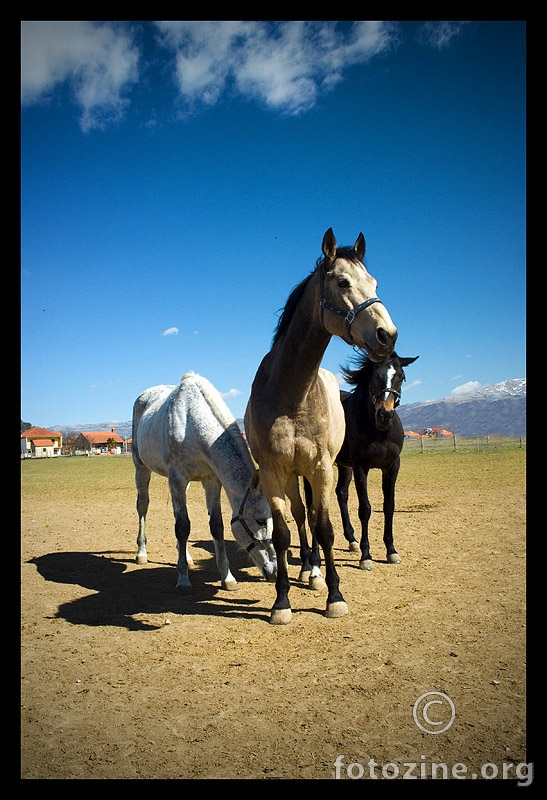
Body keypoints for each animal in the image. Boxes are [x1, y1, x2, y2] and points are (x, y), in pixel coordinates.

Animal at [246, 228, 396, 620]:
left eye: (374, 282)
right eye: (342, 282)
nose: (387, 335)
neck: (292, 393)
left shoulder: (322, 468)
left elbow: (325, 528)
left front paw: (334, 596)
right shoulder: (273, 472)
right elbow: (284, 533)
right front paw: (282, 601)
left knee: (314, 517)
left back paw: (315, 572)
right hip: (293, 476)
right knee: (301, 517)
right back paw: (306, 568)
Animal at [334, 352, 420, 568]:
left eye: (401, 377)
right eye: (375, 375)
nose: (384, 415)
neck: (378, 432)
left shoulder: (392, 467)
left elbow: (389, 506)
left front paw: (391, 551)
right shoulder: (360, 467)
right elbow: (365, 509)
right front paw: (366, 556)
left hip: (344, 466)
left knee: (341, 493)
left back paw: (352, 540)